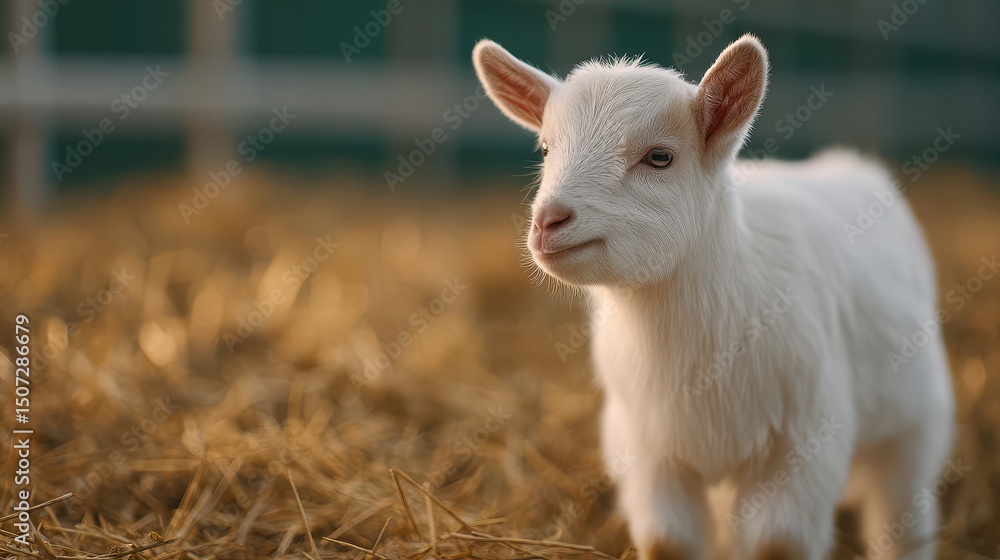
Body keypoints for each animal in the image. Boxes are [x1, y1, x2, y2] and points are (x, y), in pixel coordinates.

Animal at [472, 34, 955, 560]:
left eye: (659, 157)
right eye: (545, 148)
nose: (548, 221)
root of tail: (848, 163)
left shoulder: (805, 444)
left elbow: (778, 544)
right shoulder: (648, 450)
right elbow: (667, 541)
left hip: (913, 424)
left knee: (903, 517)